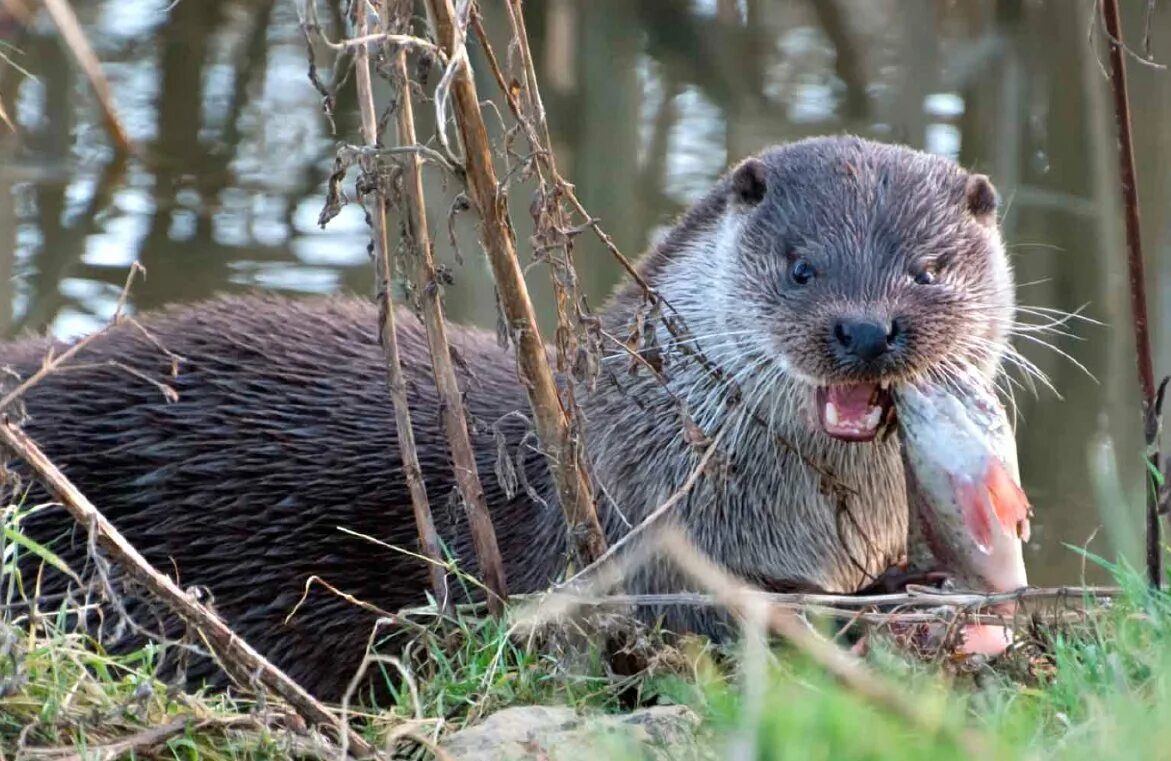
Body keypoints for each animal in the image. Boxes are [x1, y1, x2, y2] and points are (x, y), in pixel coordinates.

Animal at [0, 137, 1016, 697]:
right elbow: (721, 613)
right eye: (802, 267)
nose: (865, 328)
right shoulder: (630, 544)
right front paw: (880, 601)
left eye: (927, 269)